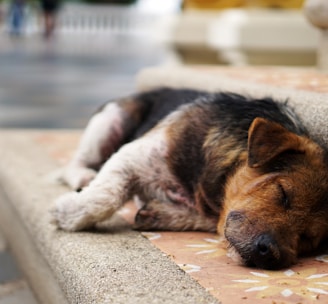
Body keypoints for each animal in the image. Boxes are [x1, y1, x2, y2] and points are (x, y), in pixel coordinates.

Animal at [52, 88, 328, 268]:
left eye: (309, 238)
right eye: (283, 194)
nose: (270, 254)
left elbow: (206, 220)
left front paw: (159, 213)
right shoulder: (134, 155)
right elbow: (106, 196)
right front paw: (69, 214)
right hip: (111, 120)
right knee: (73, 163)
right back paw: (82, 177)